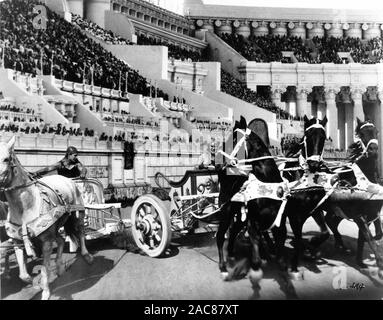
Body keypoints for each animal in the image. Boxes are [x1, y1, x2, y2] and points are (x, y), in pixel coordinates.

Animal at [0, 138, 93, 300]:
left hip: (78, 214)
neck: (26, 206)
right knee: (61, 240)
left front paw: (45, 291)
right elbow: (23, 275)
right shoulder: (17, 242)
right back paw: (60, 268)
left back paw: (86, 255)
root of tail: (67, 180)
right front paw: (34, 282)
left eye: (6, 159)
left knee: (80, 232)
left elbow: (44, 269)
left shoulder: (46, 243)